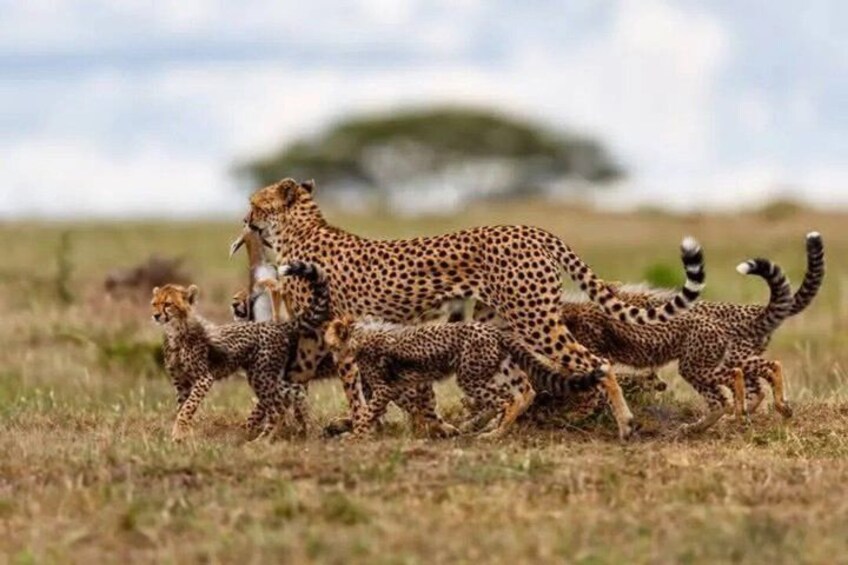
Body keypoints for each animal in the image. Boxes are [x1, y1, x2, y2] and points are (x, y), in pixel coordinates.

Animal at [151, 261, 330, 441]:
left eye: (168, 304)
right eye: (154, 304)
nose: (156, 315)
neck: (175, 331)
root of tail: (275, 325)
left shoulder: (204, 378)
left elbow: (188, 406)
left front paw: (178, 432)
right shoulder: (180, 381)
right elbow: (182, 407)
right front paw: (183, 434)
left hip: (261, 376)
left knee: (277, 409)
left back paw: (261, 440)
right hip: (268, 377)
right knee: (294, 395)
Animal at [322, 316, 605, 439]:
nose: (328, 349)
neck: (359, 335)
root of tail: (492, 328)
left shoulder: (385, 388)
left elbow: (367, 413)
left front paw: (355, 435)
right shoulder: (414, 383)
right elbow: (425, 409)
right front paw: (441, 429)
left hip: (469, 375)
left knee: (506, 400)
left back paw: (495, 432)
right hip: (500, 367)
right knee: (527, 391)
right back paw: (496, 427)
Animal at [477, 232, 824, 434]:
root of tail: (748, 309)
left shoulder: (594, 351)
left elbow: (593, 387)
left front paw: (578, 414)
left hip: (704, 362)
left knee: (754, 374)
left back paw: (753, 410)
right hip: (719, 360)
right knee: (742, 389)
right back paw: (717, 421)